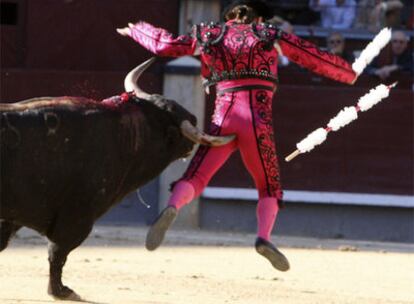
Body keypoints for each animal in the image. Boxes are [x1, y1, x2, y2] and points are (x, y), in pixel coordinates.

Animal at [0, 58, 233, 300]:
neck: (128, 134)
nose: (195, 119)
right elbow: (57, 253)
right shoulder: (77, 218)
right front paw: (61, 292)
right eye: (174, 132)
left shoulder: (14, 215)